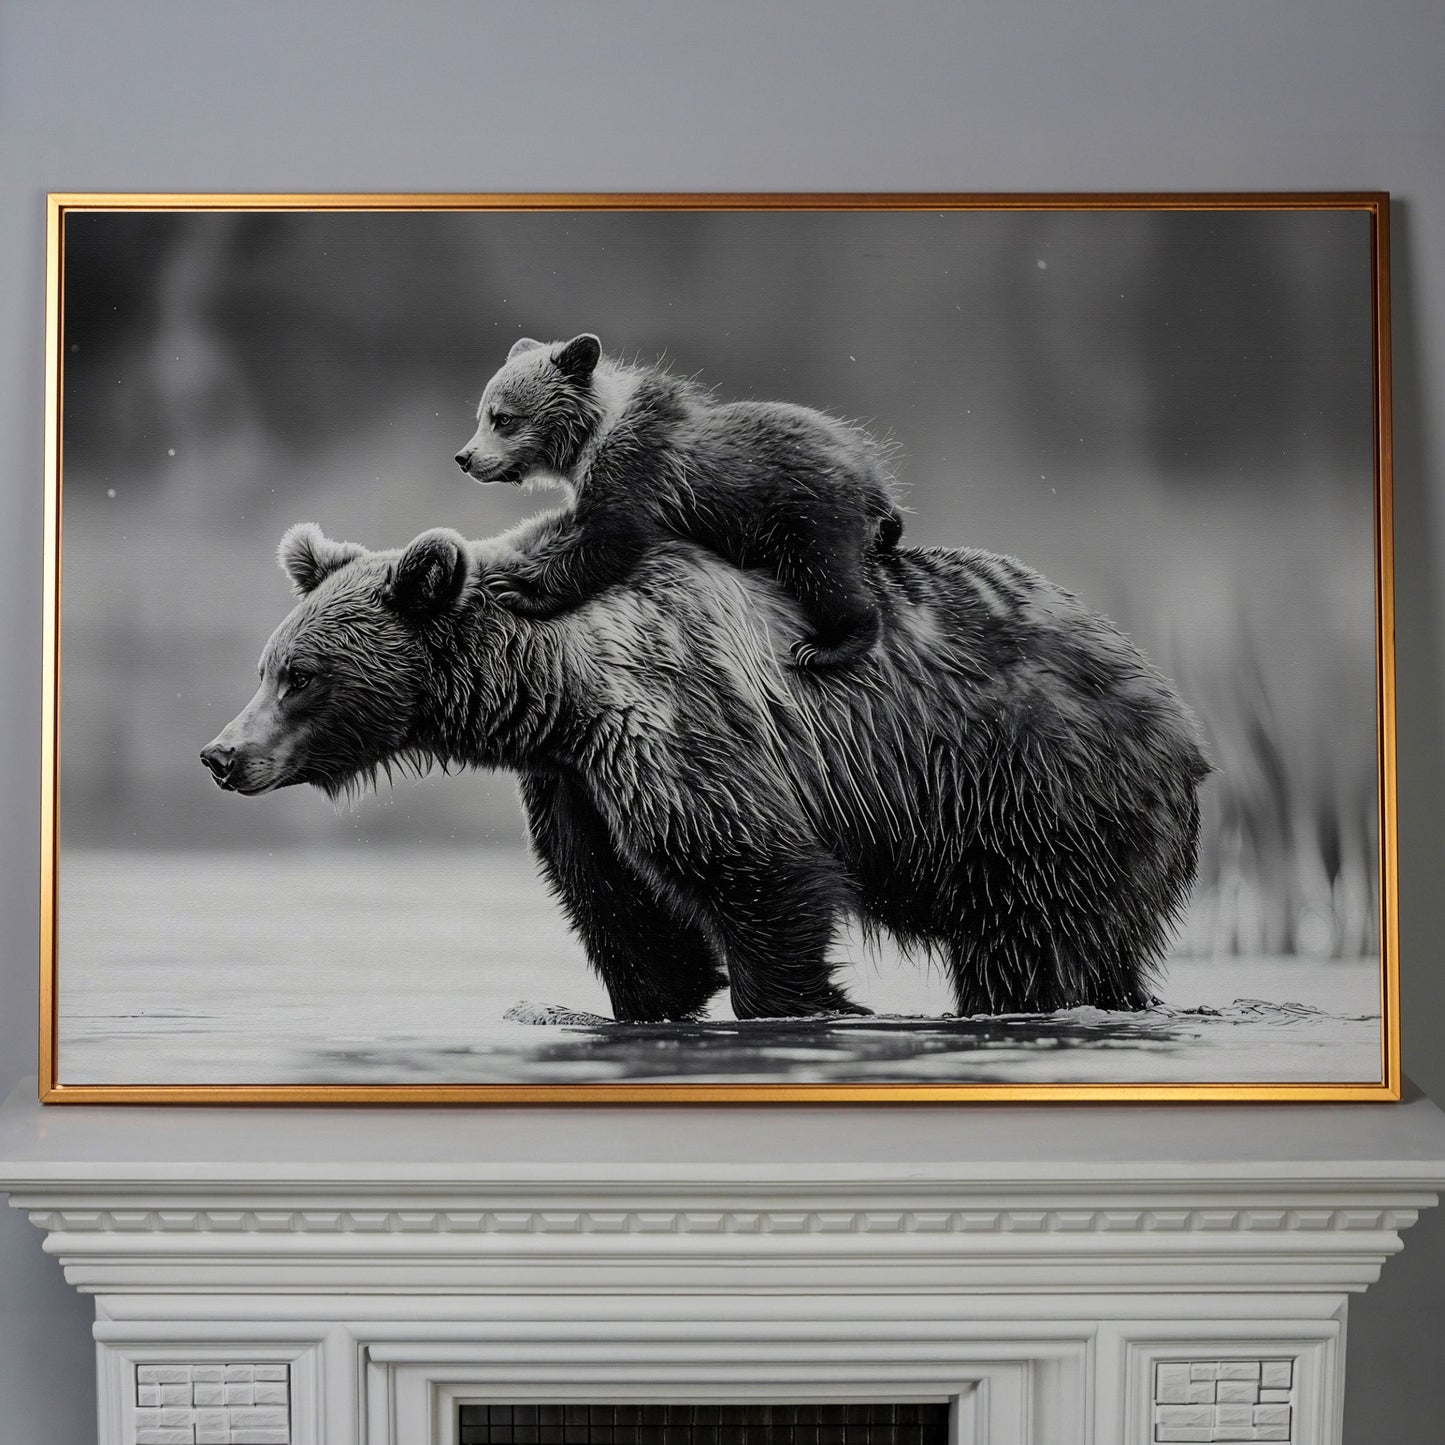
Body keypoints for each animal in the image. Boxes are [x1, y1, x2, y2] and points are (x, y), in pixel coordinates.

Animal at [201, 521, 1208, 1024]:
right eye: (266, 665)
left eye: (299, 675)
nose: (222, 754)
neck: (554, 690)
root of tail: (1174, 706)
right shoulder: (575, 787)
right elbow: (625, 919)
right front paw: (656, 1000)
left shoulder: (678, 728)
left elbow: (759, 876)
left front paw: (812, 1004)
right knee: (1096, 951)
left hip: (1034, 794)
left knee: (1028, 947)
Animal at [453, 334, 905, 668]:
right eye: (481, 414)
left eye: (504, 418)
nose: (465, 458)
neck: (589, 442)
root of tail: (871, 476)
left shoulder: (636, 474)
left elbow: (610, 542)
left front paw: (515, 587)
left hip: (806, 511)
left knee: (825, 573)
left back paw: (828, 645)